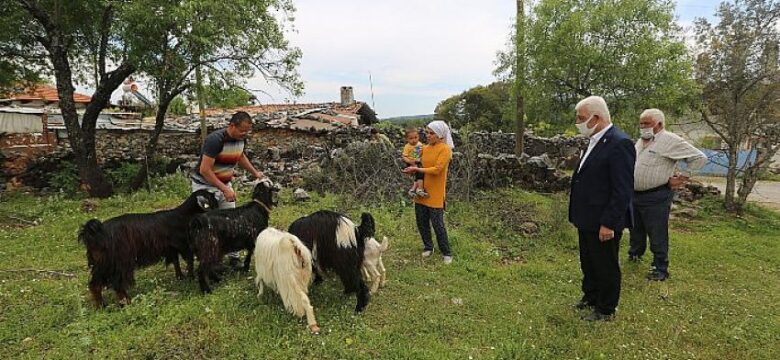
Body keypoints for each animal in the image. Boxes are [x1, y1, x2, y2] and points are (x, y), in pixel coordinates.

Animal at [79, 188, 218, 306]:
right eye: (210, 197)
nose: (217, 201)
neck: (183, 215)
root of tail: (96, 232)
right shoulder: (185, 246)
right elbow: (189, 262)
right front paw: (190, 277)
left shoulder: (172, 249)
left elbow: (176, 262)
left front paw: (180, 277)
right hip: (121, 260)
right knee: (117, 283)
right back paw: (127, 302)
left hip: (102, 263)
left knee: (95, 284)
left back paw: (101, 305)